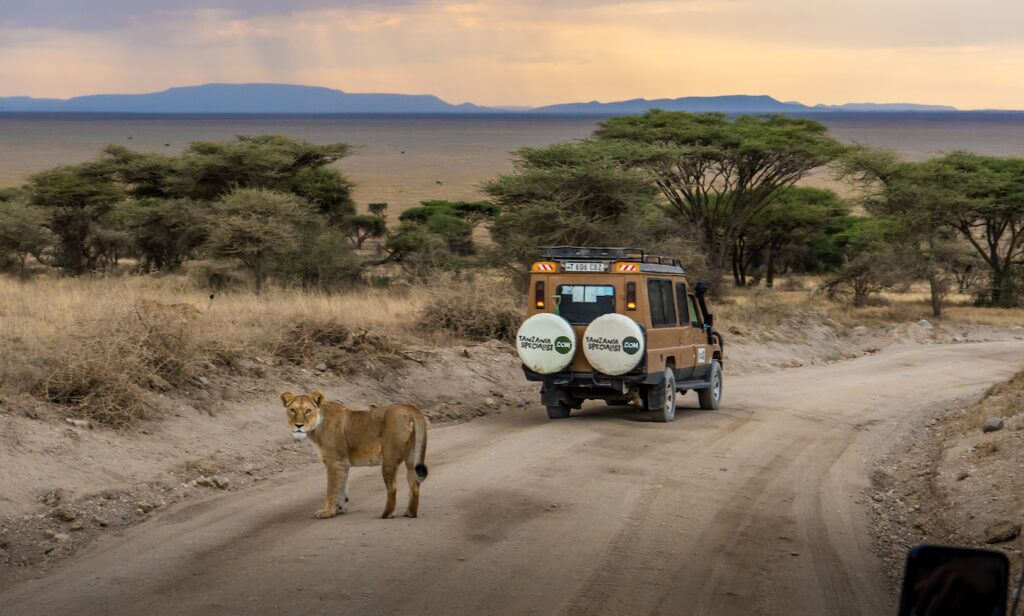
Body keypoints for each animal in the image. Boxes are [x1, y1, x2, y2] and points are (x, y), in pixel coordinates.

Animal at [280, 391, 428, 519]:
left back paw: (386, 514)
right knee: (414, 484)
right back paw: (410, 513)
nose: (298, 425)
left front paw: (328, 512)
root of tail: (409, 408)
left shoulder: (335, 462)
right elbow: (342, 487)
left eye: (308, 411)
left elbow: (331, 489)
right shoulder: (343, 464)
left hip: (389, 459)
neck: (316, 427)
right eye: (292, 410)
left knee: (392, 488)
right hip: (412, 458)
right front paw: (339, 509)